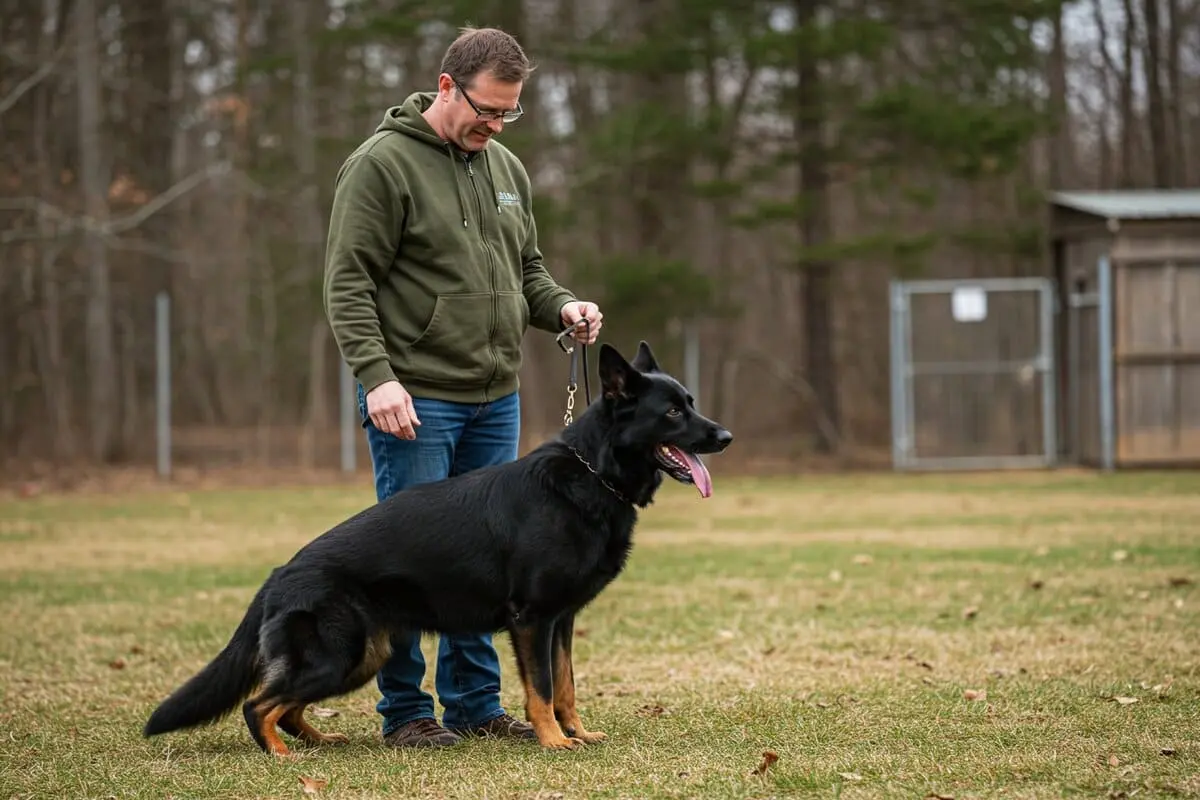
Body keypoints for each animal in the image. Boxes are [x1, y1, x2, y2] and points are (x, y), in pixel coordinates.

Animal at [141, 340, 729, 758]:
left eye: (690, 404)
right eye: (672, 413)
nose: (724, 437)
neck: (593, 474)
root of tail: (280, 573)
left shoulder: (561, 621)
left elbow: (566, 686)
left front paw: (577, 734)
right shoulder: (533, 620)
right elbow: (541, 688)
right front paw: (554, 742)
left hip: (360, 658)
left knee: (283, 707)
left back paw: (319, 742)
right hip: (337, 656)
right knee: (258, 704)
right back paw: (282, 756)